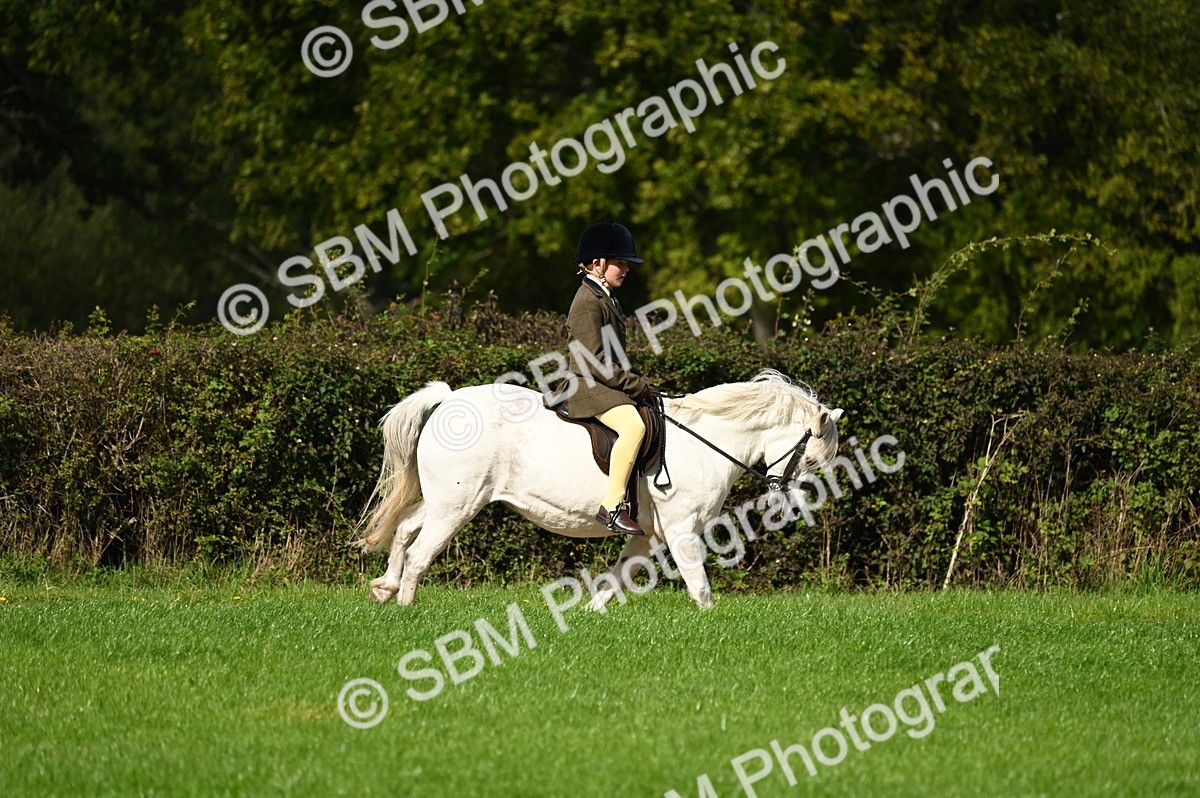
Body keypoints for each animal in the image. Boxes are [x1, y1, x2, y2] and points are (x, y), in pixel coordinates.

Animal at [357, 369, 843, 610]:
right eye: (810, 460)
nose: (801, 508)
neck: (707, 439)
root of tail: (450, 399)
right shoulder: (681, 529)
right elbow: (700, 588)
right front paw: (711, 625)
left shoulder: (648, 535)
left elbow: (617, 578)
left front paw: (590, 615)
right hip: (457, 507)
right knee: (420, 553)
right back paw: (406, 608)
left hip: (447, 500)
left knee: (404, 529)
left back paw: (384, 588)